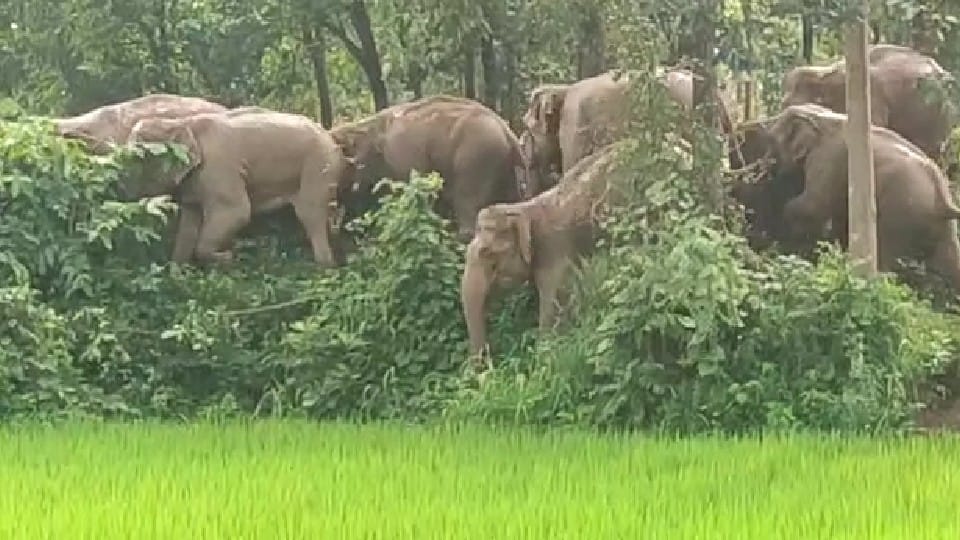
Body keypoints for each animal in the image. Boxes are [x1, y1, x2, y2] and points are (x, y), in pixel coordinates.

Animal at [123, 108, 346, 267]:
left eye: (138, 157)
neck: (183, 123)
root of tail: (329, 135)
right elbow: (188, 224)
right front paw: (178, 275)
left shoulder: (218, 168)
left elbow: (237, 211)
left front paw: (229, 256)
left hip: (319, 164)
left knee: (309, 214)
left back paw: (325, 268)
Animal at [461, 142, 626, 356]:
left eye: (486, 252)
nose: (488, 359)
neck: (523, 208)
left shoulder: (554, 250)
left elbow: (553, 303)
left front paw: (544, 349)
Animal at [763, 103, 960, 287]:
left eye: (771, 139)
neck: (822, 115)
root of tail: (942, 201)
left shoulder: (827, 157)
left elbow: (813, 205)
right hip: (941, 227)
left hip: (901, 215)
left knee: (888, 253)